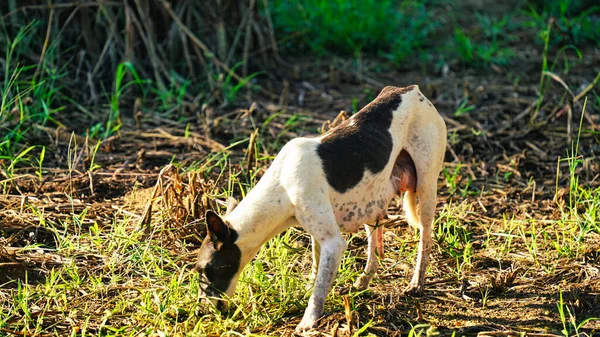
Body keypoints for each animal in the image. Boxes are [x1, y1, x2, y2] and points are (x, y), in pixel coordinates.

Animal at [196, 84, 446, 330]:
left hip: (426, 190)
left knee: (425, 240)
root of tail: (411, 90)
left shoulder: (333, 243)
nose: (201, 312)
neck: (283, 183)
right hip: (370, 201)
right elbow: (317, 272)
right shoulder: (317, 235)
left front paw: (309, 321)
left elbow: (318, 290)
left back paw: (416, 283)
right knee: (374, 245)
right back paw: (364, 280)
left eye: (205, 270)